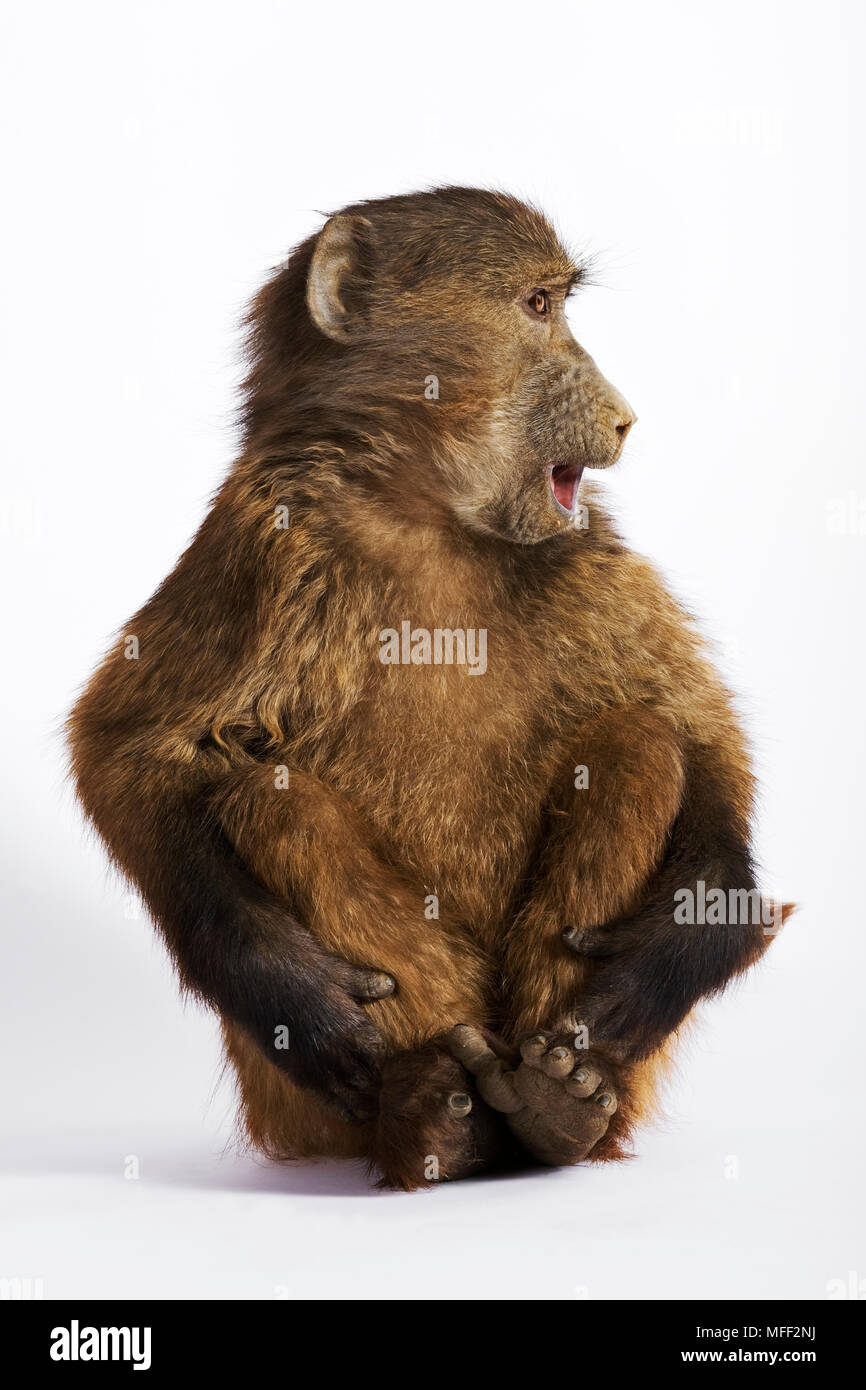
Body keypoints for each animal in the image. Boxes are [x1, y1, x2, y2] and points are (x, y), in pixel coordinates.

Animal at [68, 187, 791, 1191]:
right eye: (538, 306)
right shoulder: (263, 536)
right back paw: (434, 1115)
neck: (422, 505)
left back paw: (560, 1102)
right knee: (272, 799)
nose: (623, 418)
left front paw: (687, 939)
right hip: (300, 1100)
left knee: (638, 744)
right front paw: (290, 992)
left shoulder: (587, 547)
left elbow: (697, 723)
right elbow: (131, 750)